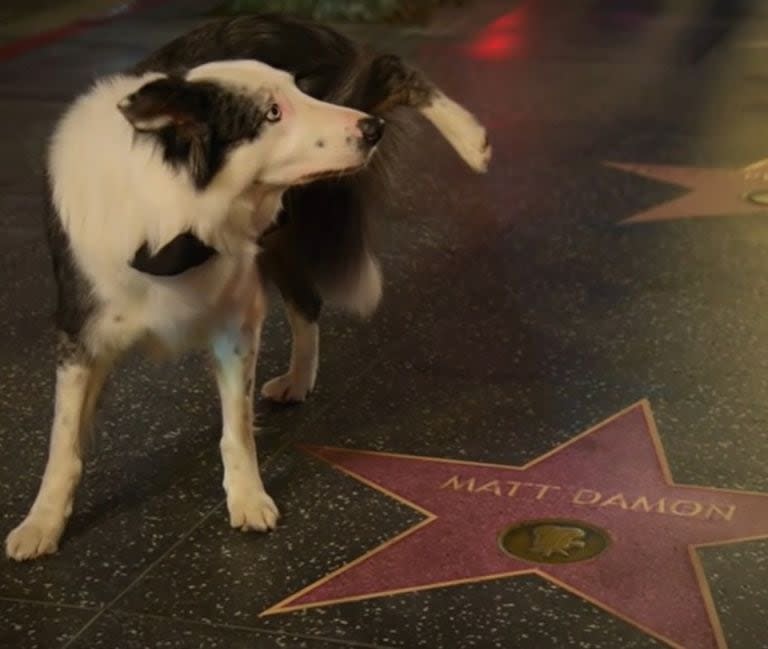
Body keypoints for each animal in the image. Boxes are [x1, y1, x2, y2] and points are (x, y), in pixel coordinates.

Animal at [6, 12, 488, 560]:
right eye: (272, 113)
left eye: (295, 92)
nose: (371, 130)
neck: (173, 218)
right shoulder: (81, 330)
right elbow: (63, 440)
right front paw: (42, 522)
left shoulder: (234, 322)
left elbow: (235, 429)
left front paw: (247, 498)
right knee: (307, 301)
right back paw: (299, 379)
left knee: (389, 67)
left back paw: (471, 139)